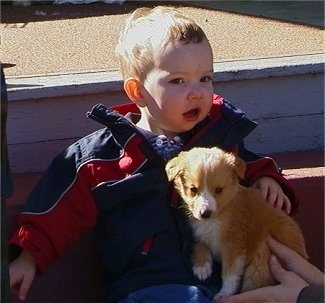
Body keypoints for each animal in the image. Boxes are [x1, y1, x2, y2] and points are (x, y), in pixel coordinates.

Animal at [165, 147, 306, 302]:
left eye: (219, 190)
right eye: (193, 189)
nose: (205, 213)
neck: (218, 216)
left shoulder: (233, 245)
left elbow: (229, 274)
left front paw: (224, 293)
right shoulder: (199, 230)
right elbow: (200, 242)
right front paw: (201, 266)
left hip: (261, 260)